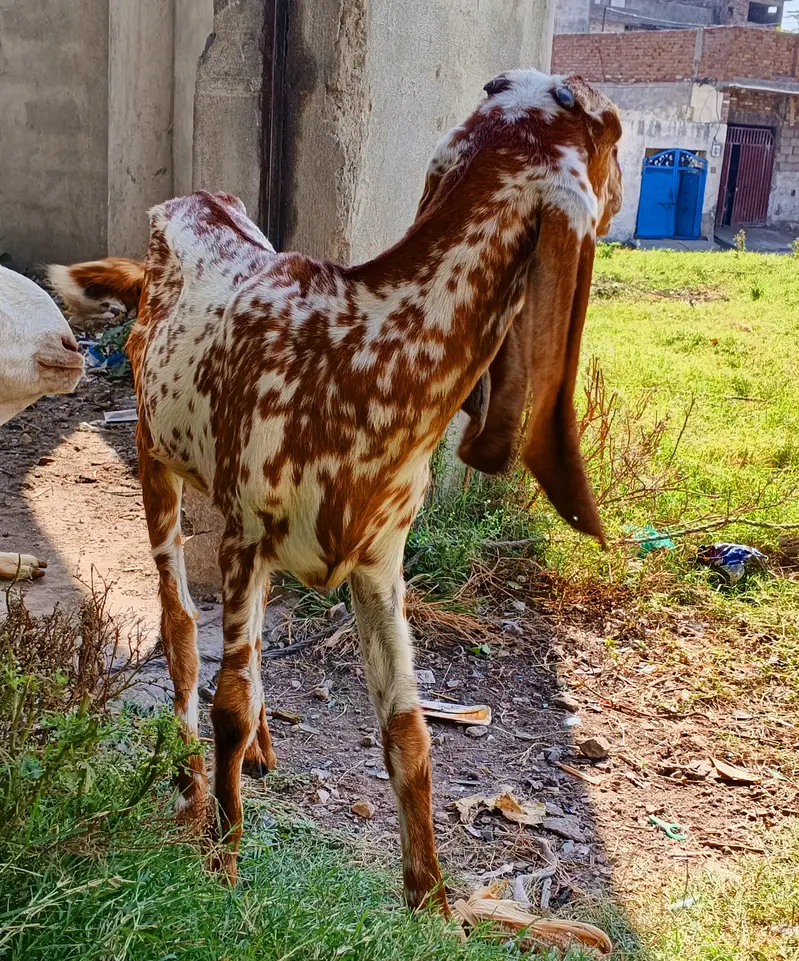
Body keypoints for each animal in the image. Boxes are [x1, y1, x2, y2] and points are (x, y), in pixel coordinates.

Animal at [49, 69, 622, 912]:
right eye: (611, 129)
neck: (364, 351)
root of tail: (188, 201)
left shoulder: (380, 561)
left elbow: (408, 728)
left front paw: (433, 903)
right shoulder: (244, 535)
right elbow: (226, 697)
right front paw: (223, 861)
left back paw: (256, 753)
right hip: (158, 458)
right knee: (182, 626)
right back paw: (190, 779)